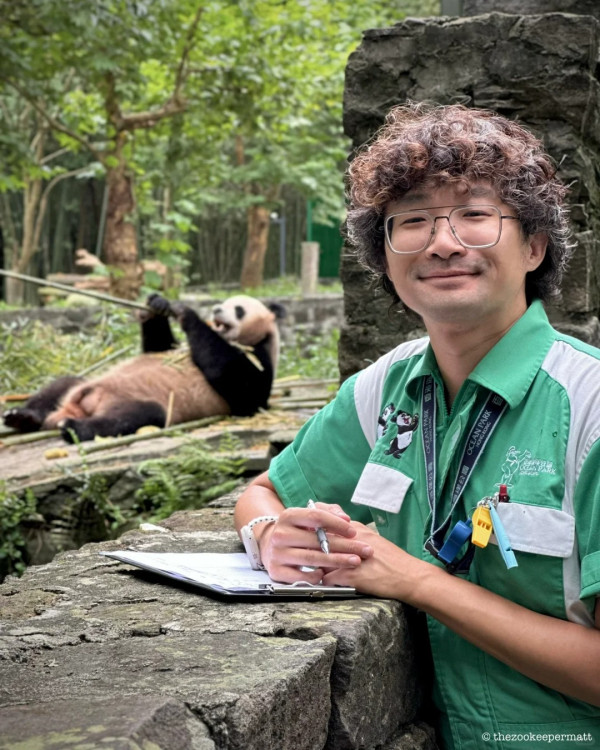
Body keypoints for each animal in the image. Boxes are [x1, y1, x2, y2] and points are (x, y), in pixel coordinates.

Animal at [2, 294, 284, 444]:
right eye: (223, 303)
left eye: (239, 309)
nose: (215, 309)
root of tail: (75, 407)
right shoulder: (169, 348)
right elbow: (159, 347)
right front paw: (157, 305)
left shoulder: (259, 360)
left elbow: (238, 382)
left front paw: (186, 313)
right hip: (78, 387)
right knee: (62, 384)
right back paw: (22, 415)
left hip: (133, 403)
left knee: (137, 416)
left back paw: (72, 428)